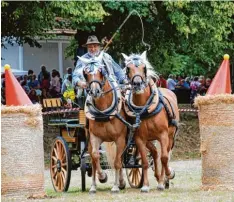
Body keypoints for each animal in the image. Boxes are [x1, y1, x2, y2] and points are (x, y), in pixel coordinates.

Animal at [78, 51, 126, 193]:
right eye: (85, 73)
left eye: (101, 71)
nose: (95, 91)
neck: (104, 112)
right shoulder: (95, 137)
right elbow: (95, 156)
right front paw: (102, 176)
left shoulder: (120, 138)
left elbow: (117, 161)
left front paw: (116, 186)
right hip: (88, 139)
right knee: (94, 161)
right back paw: (93, 186)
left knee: (120, 159)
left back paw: (121, 182)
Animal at [122, 51, 179, 192]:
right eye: (128, 68)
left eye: (144, 68)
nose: (137, 84)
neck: (144, 110)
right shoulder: (139, 139)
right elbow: (145, 162)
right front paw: (145, 186)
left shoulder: (163, 135)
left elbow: (164, 158)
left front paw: (168, 175)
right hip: (147, 139)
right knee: (154, 152)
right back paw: (158, 177)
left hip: (170, 137)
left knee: (164, 155)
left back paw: (163, 180)